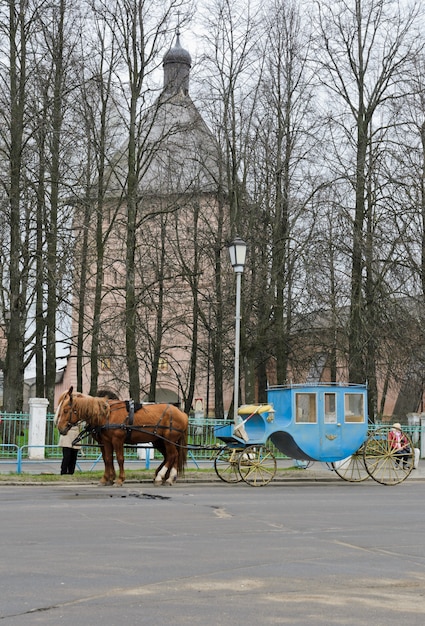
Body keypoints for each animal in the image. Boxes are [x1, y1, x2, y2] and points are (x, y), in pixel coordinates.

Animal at [54, 382, 187, 486]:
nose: (60, 428)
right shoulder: (105, 442)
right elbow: (107, 459)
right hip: (160, 441)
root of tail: (182, 413)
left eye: (65, 410)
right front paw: (107, 479)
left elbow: (119, 458)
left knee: (172, 455)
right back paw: (167, 477)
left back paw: (162, 477)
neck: (106, 414)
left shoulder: (117, 440)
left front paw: (119, 479)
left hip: (168, 440)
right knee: (171, 456)